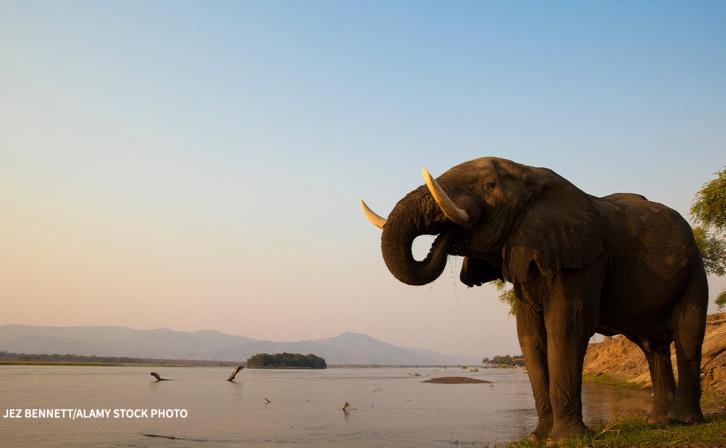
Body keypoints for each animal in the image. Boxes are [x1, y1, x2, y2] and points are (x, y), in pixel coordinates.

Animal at [362, 157, 708, 440]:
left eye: (489, 185)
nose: (448, 236)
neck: (531, 175)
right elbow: (530, 336)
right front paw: (539, 437)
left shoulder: (585, 259)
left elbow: (566, 328)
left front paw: (565, 440)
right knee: (652, 346)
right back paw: (658, 423)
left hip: (694, 269)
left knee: (687, 334)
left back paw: (685, 421)